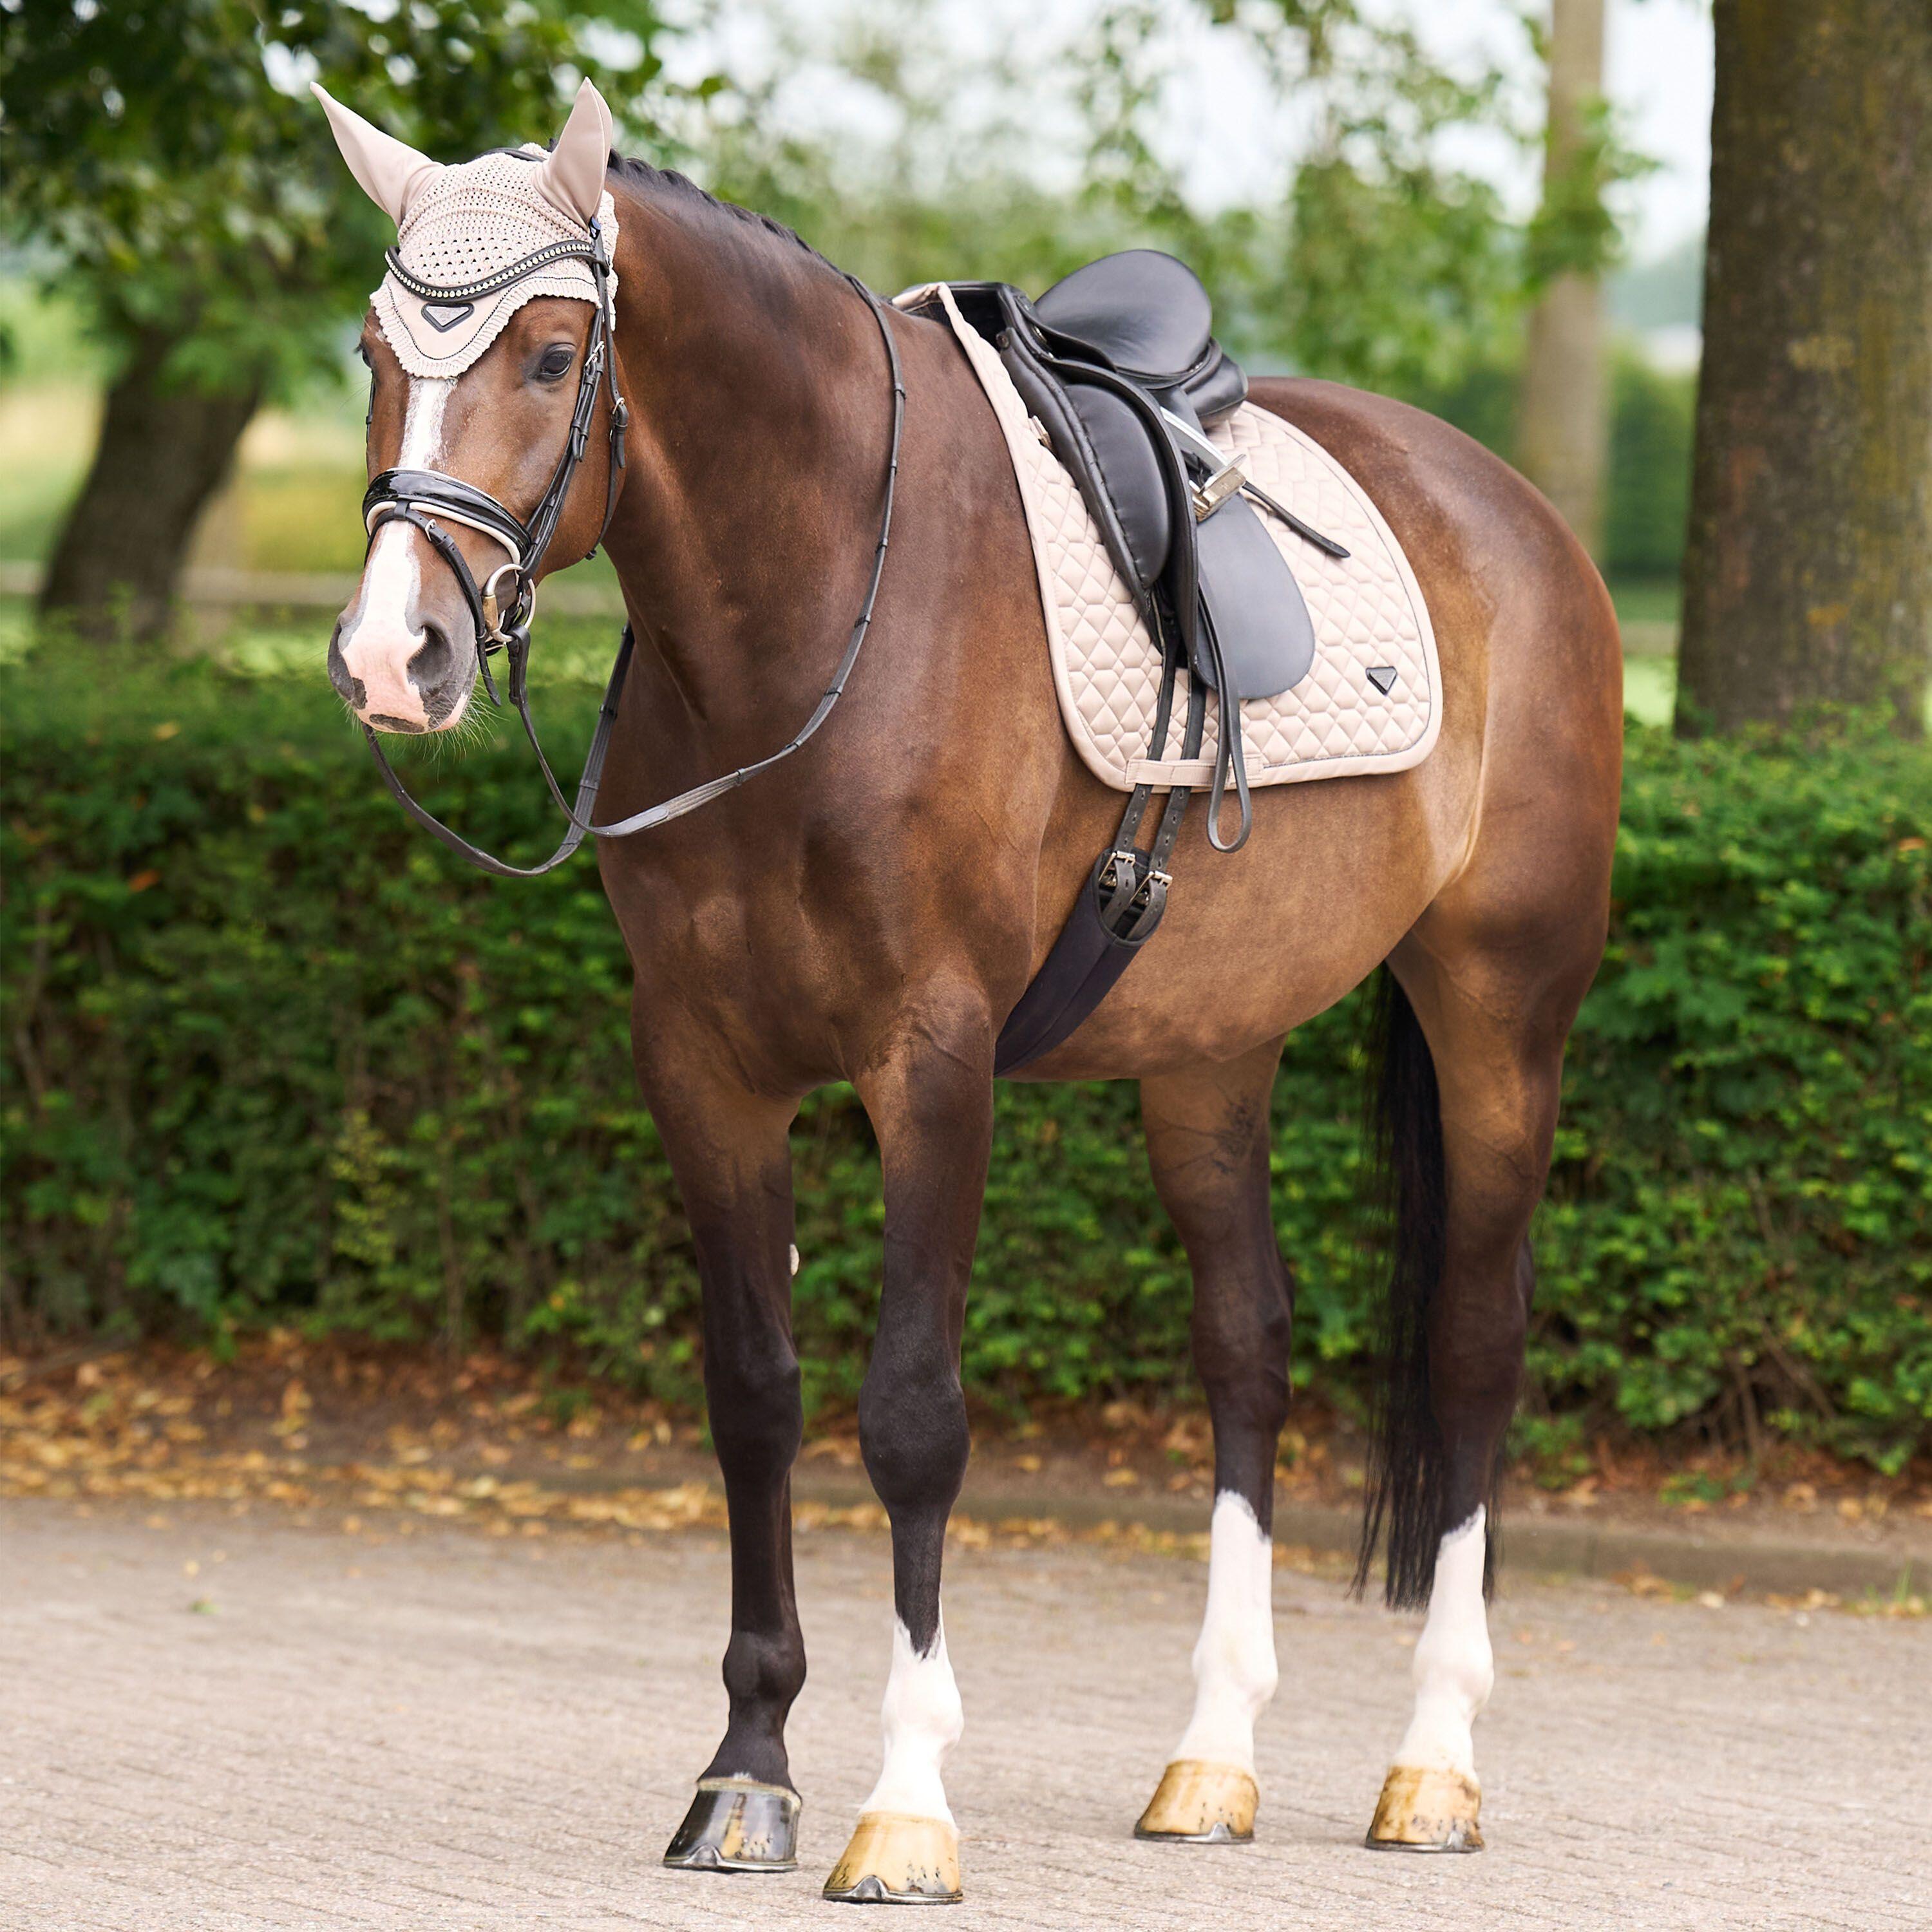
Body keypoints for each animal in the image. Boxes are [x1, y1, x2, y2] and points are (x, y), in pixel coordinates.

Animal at [316, 80, 1622, 1903]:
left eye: (554, 352)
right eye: (375, 347)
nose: (395, 656)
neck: (810, 625)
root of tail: (1511, 511)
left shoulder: (930, 1062)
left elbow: (912, 1414)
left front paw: (905, 1802)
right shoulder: (702, 1065)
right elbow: (754, 1394)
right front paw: (746, 1771)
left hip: (1501, 1012)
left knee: (1473, 1348)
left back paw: (1431, 1764)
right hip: (1209, 1055)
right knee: (1248, 1348)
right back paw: (1208, 1760)